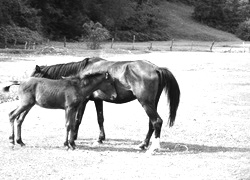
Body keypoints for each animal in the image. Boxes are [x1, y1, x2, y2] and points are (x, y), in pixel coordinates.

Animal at [31, 57, 180, 153]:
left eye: (35, 76)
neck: (83, 72)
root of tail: (156, 69)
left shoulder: (83, 101)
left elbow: (77, 120)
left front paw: (73, 139)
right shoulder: (98, 100)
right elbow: (100, 118)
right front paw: (100, 139)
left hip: (146, 103)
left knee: (157, 121)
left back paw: (154, 147)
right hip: (152, 103)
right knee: (151, 123)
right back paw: (143, 144)